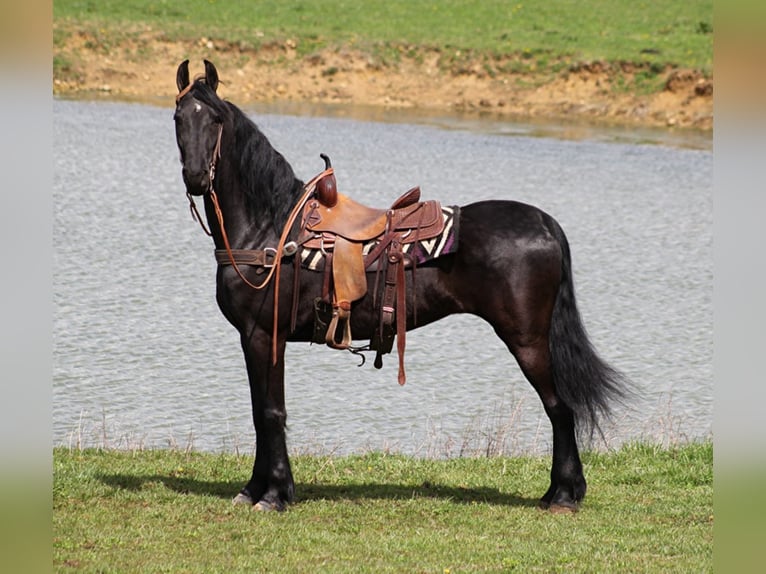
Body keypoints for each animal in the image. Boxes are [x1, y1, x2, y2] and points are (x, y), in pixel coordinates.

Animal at [176, 60, 632, 516]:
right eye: (179, 118)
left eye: (215, 120)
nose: (196, 177)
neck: (269, 227)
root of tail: (544, 222)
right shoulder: (258, 338)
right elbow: (261, 412)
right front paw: (257, 488)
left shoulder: (263, 335)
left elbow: (270, 412)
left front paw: (272, 494)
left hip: (528, 340)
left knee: (560, 408)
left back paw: (564, 495)